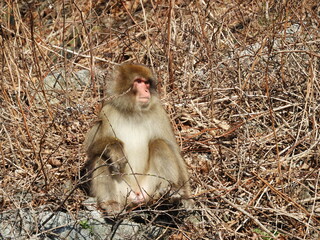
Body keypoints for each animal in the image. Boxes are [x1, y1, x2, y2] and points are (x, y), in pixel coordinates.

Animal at [84, 63, 191, 212]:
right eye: (139, 81)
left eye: (147, 83)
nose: (146, 91)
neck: (133, 112)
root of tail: (138, 196)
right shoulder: (106, 112)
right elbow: (90, 148)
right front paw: (115, 149)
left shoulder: (159, 113)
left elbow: (173, 149)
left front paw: (186, 197)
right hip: (124, 193)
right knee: (102, 157)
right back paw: (111, 202)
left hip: (149, 187)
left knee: (160, 143)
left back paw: (168, 193)